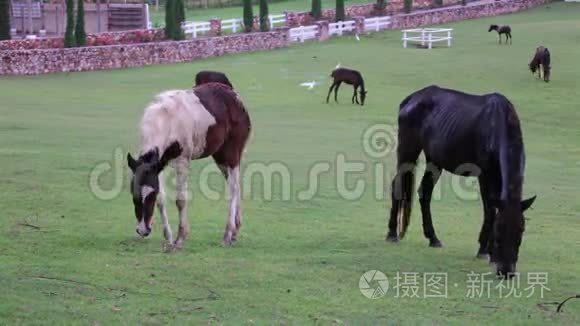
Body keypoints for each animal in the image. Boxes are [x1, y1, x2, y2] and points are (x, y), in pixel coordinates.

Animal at [128, 82, 250, 250]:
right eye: (134, 196)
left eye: (150, 196)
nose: (143, 230)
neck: (166, 120)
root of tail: (234, 95)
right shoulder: (159, 165)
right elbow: (162, 198)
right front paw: (169, 238)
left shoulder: (182, 161)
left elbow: (180, 200)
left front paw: (180, 239)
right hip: (220, 156)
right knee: (236, 184)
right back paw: (235, 232)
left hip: (232, 152)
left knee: (233, 188)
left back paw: (227, 234)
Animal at [388, 84, 536, 278]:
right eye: (499, 230)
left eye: (521, 230)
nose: (506, 271)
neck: (497, 125)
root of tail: (411, 99)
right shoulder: (485, 174)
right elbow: (489, 209)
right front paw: (484, 251)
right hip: (408, 152)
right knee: (397, 186)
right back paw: (392, 234)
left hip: (434, 160)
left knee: (425, 191)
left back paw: (433, 238)